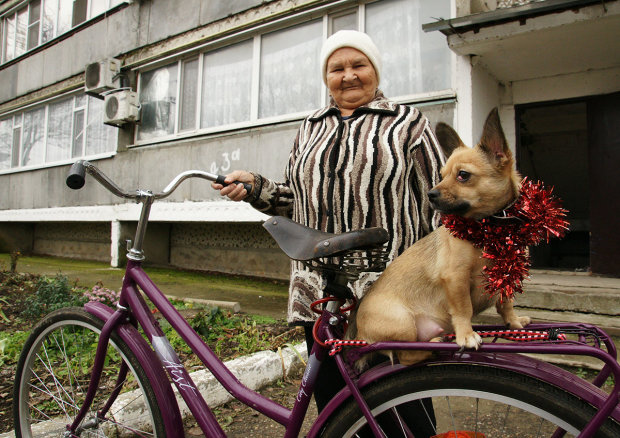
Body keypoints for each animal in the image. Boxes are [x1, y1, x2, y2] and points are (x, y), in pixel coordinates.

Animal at [352, 109, 532, 366]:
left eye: (463, 175)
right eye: (442, 175)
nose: (431, 193)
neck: (491, 228)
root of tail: (360, 335)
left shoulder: (506, 277)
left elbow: (506, 303)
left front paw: (515, 323)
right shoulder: (456, 278)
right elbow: (464, 309)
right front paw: (466, 335)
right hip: (403, 323)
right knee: (405, 354)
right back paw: (433, 347)